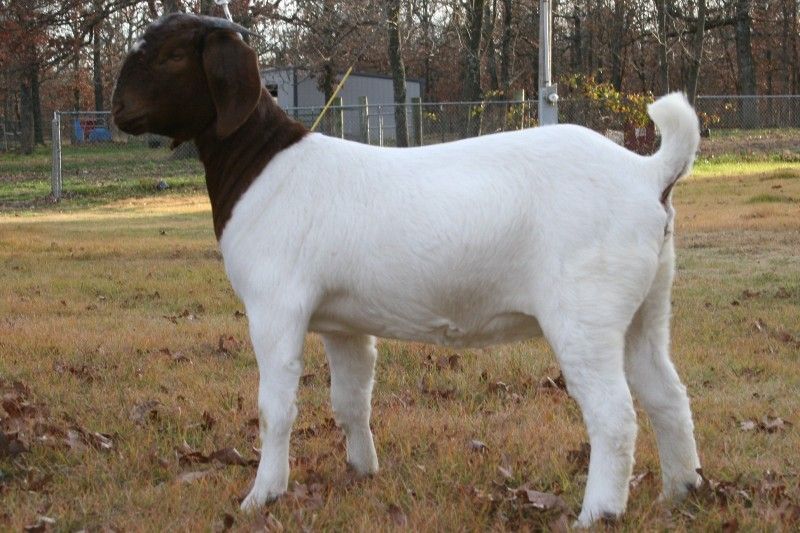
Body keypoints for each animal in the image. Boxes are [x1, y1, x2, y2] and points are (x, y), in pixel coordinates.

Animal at [112, 13, 702, 527]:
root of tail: (648, 173)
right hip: (646, 308)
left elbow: (275, 408)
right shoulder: (342, 324)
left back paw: (598, 514)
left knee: (614, 415)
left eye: (171, 56)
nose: (117, 109)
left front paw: (262, 495)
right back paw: (682, 493)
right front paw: (361, 472)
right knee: (667, 394)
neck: (263, 165)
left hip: (585, 313)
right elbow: (351, 401)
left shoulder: (275, 309)